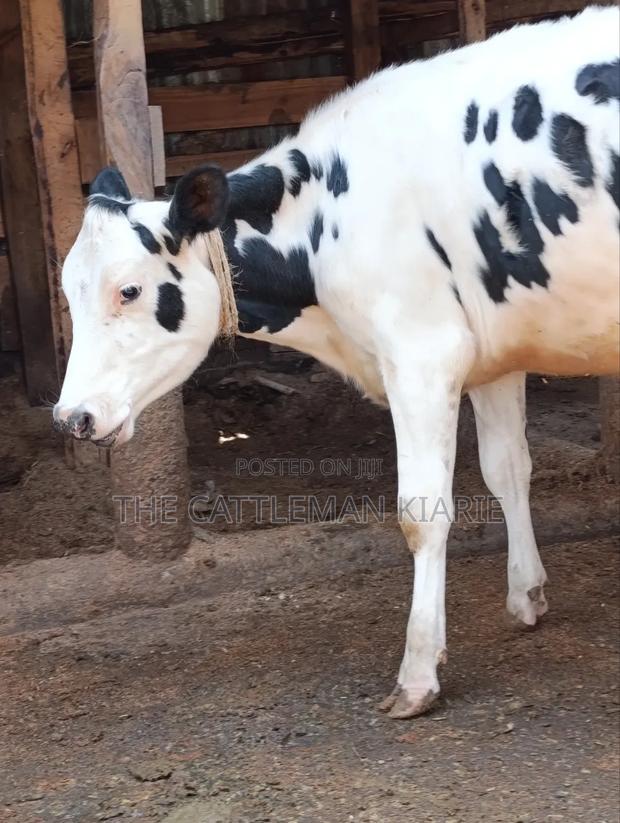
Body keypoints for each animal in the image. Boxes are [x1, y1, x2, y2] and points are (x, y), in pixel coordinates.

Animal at [53, 6, 619, 718]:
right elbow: (508, 471)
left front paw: (417, 675)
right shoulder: (493, 349)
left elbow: (421, 511)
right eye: (68, 288)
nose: (71, 416)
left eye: (128, 290)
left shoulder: (423, 351)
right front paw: (527, 595)